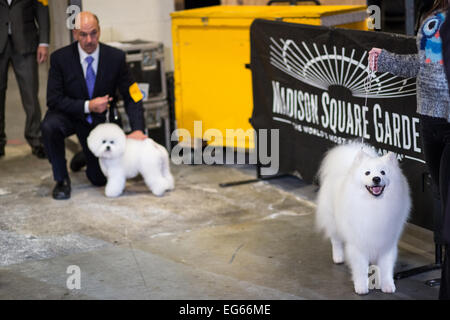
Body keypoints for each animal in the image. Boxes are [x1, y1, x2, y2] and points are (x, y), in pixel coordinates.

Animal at [314, 142, 410, 296]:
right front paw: (361, 287)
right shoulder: (358, 243)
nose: (376, 179)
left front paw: (388, 285)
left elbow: (386, 267)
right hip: (333, 222)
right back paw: (338, 257)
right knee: (336, 241)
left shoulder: (387, 243)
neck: (375, 205)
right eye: (367, 173)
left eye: (383, 172)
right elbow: (360, 268)